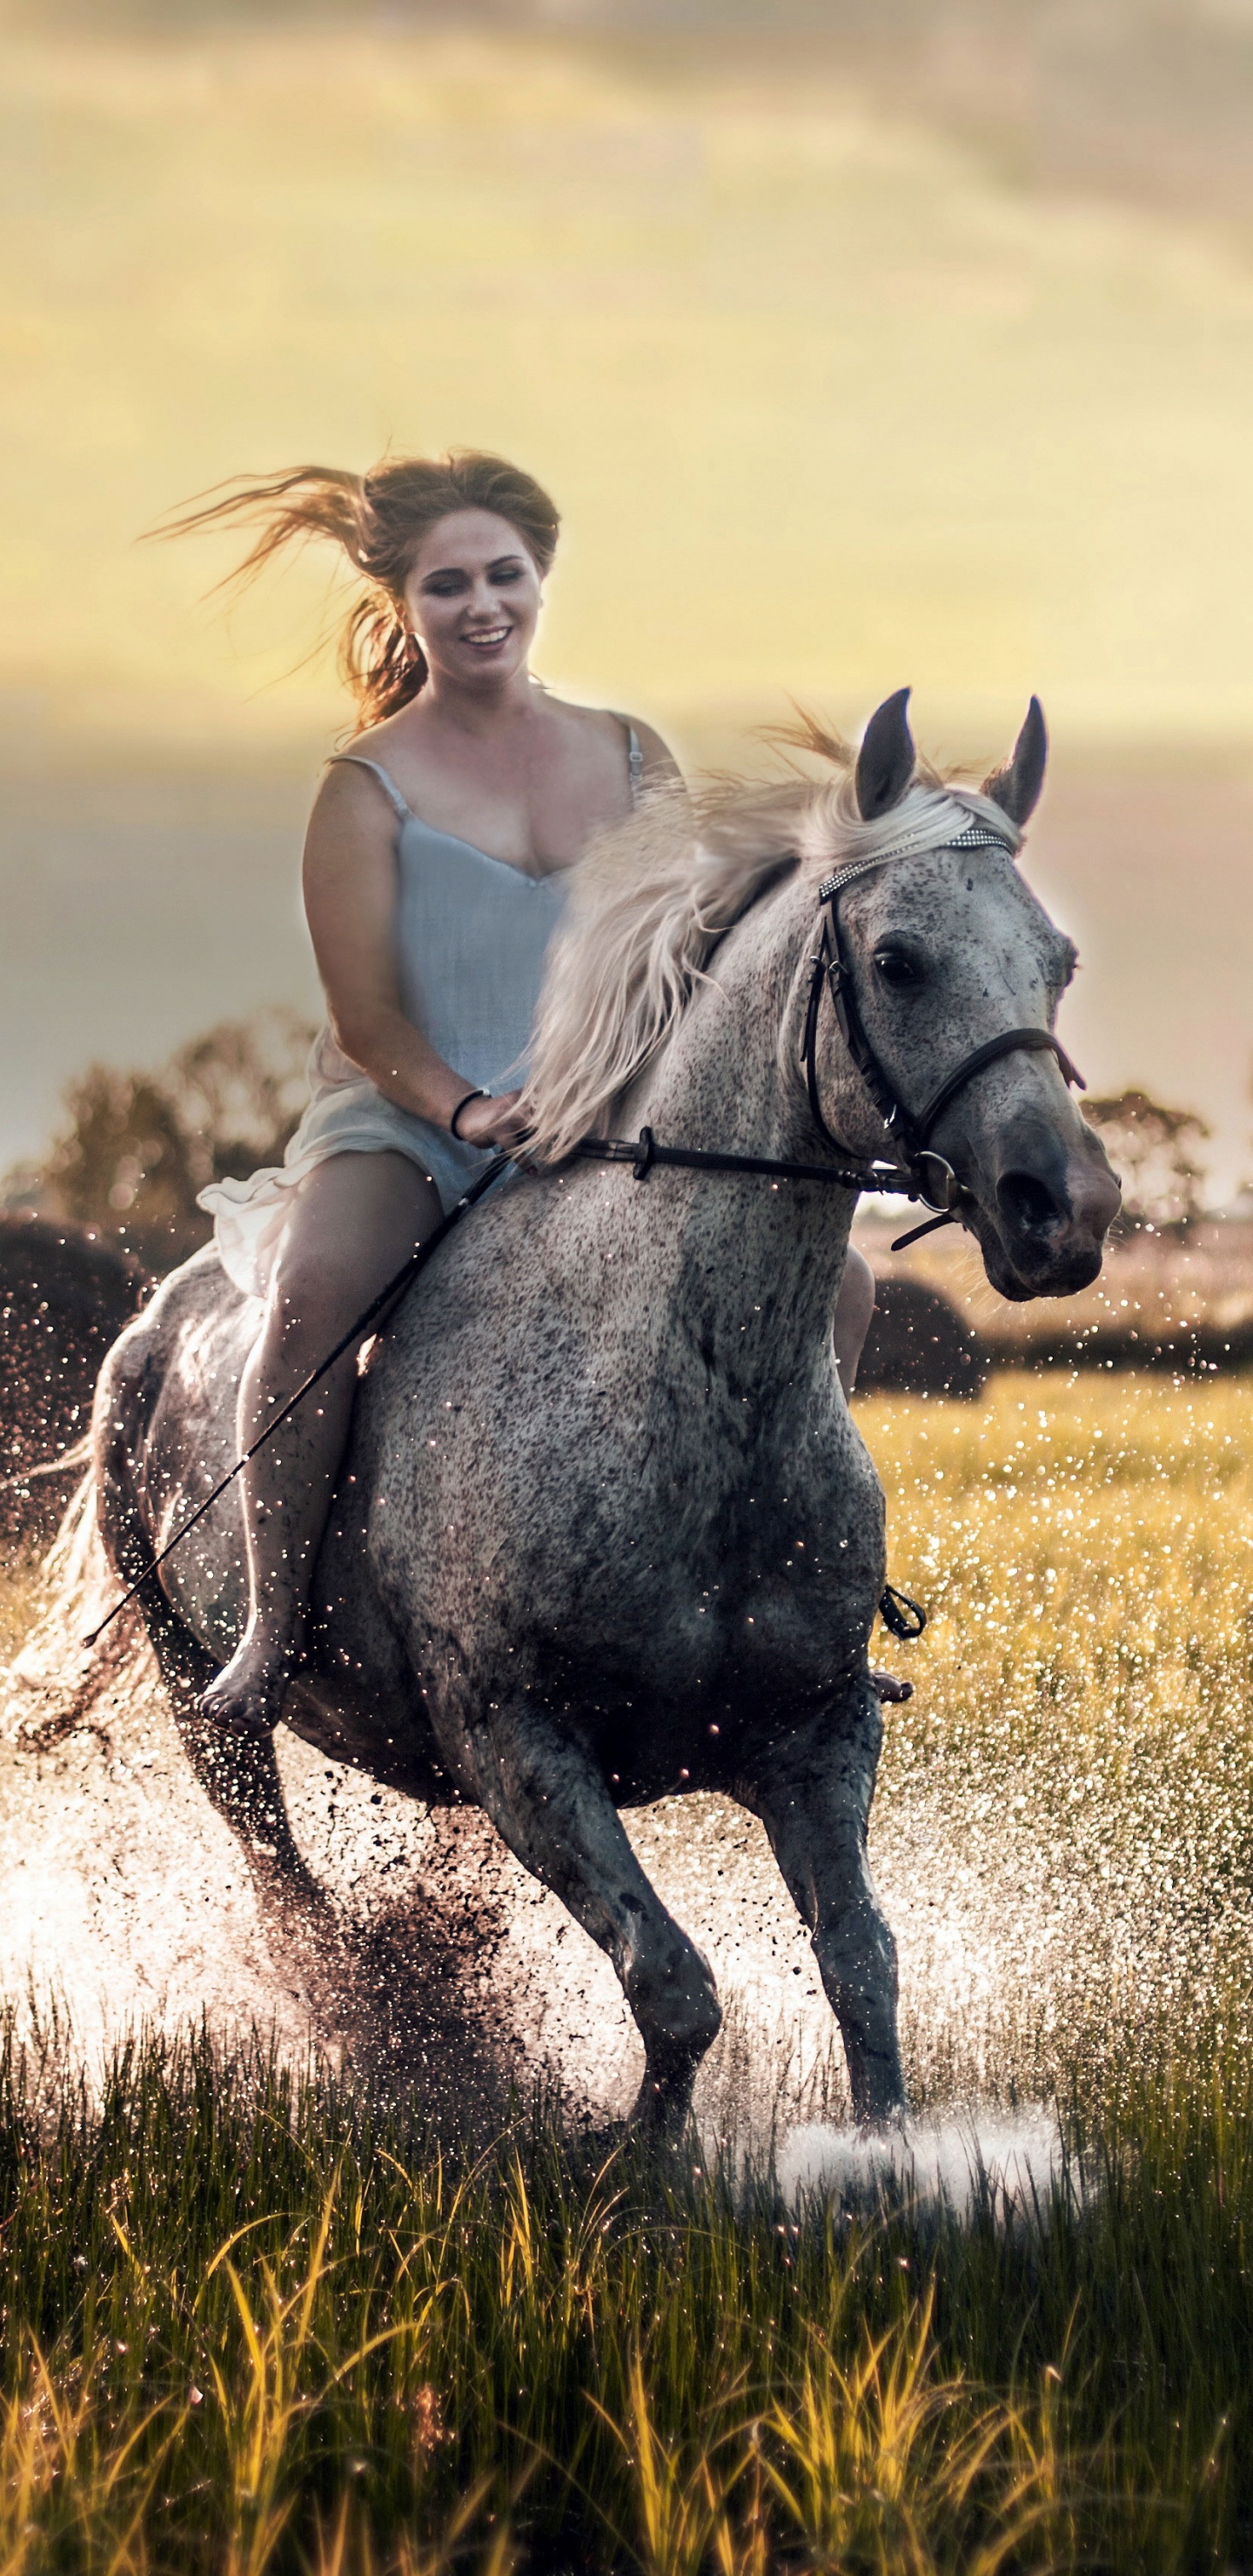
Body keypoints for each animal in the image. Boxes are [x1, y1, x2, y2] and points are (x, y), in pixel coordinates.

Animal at [87, 691, 1119, 2134]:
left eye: (1057, 963)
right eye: (899, 960)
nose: (1064, 1211)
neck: (690, 1394)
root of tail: (154, 1321)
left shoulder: (817, 1735)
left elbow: (862, 1964)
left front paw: (884, 2159)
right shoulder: (523, 1745)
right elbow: (672, 1985)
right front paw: (637, 2170)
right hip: (204, 1709)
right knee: (289, 1895)